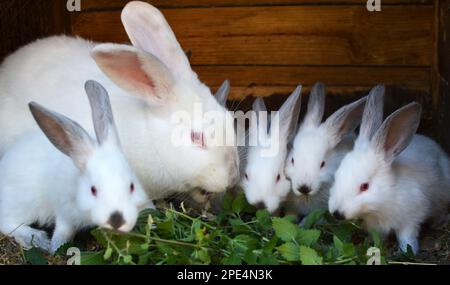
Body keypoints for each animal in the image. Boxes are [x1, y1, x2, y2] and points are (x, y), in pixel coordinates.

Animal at [0, 80, 151, 253]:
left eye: (132, 186)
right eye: (93, 190)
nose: (117, 220)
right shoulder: (64, 212)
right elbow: (64, 230)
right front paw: (55, 247)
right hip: (21, 204)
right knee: (7, 222)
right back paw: (36, 238)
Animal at [326, 86, 450, 253]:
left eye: (364, 186)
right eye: (336, 176)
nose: (337, 213)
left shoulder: (411, 219)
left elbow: (407, 237)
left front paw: (407, 251)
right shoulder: (376, 227)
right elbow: (378, 238)